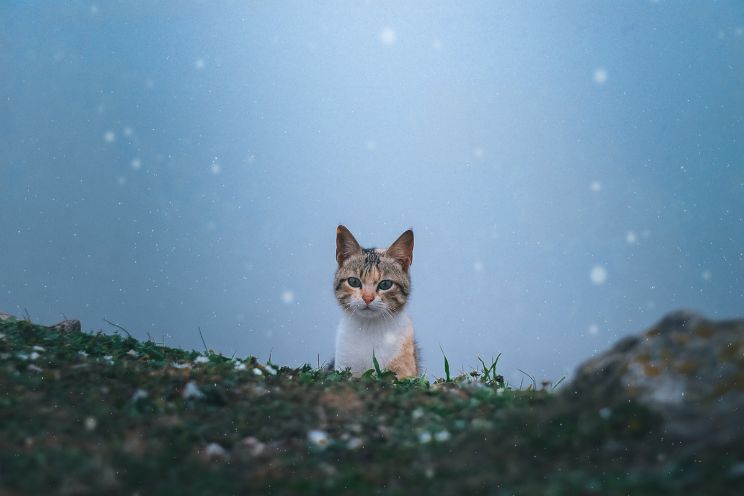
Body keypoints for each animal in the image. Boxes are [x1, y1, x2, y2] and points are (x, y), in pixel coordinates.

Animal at [332, 227, 418, 378]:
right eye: (354, 282)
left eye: (385, 284)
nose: (367, 298)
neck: (369, 327)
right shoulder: (344, 365)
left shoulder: (404, 368)